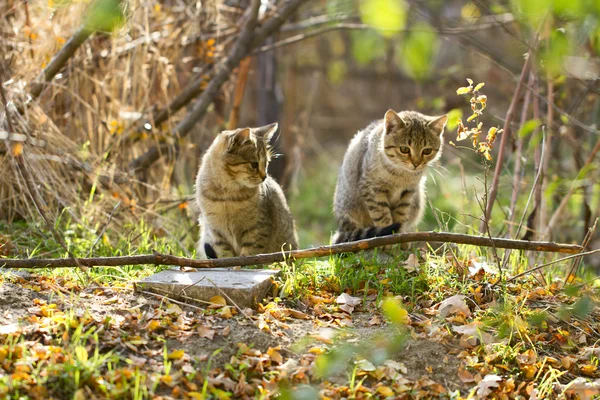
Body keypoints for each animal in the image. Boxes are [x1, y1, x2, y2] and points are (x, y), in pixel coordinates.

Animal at [196, 122, 298, 260]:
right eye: (254, 164)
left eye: (266, 163)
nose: (264, 177)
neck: (228, 195)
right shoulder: (216, 232)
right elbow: (224, 254)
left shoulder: (257, 229)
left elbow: (250, 253)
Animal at [332, 108, 446, 242]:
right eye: (404, 149)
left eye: (427, 150)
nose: (416, 164)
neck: (401, 175)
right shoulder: (372, 190)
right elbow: (382, 217)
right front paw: (388, 241)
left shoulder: (408, 192)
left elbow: (401, 215)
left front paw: (400, 238)